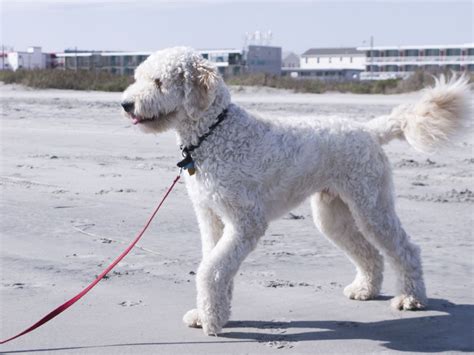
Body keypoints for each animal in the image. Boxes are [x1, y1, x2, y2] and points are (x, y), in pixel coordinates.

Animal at [121, 47, 470, 336]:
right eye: (138, 77)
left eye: (159, 82)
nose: (125, 104)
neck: (214, 132)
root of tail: (370, 130)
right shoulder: (211, 218)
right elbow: (216, 265)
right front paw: (211, 313)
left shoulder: (246, 222)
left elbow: (211, 270)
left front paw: (212, 320)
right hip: (333, 214)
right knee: (369, 253)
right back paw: (365, 290)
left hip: (372, 206)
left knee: (406, 248)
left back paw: (411, 298)